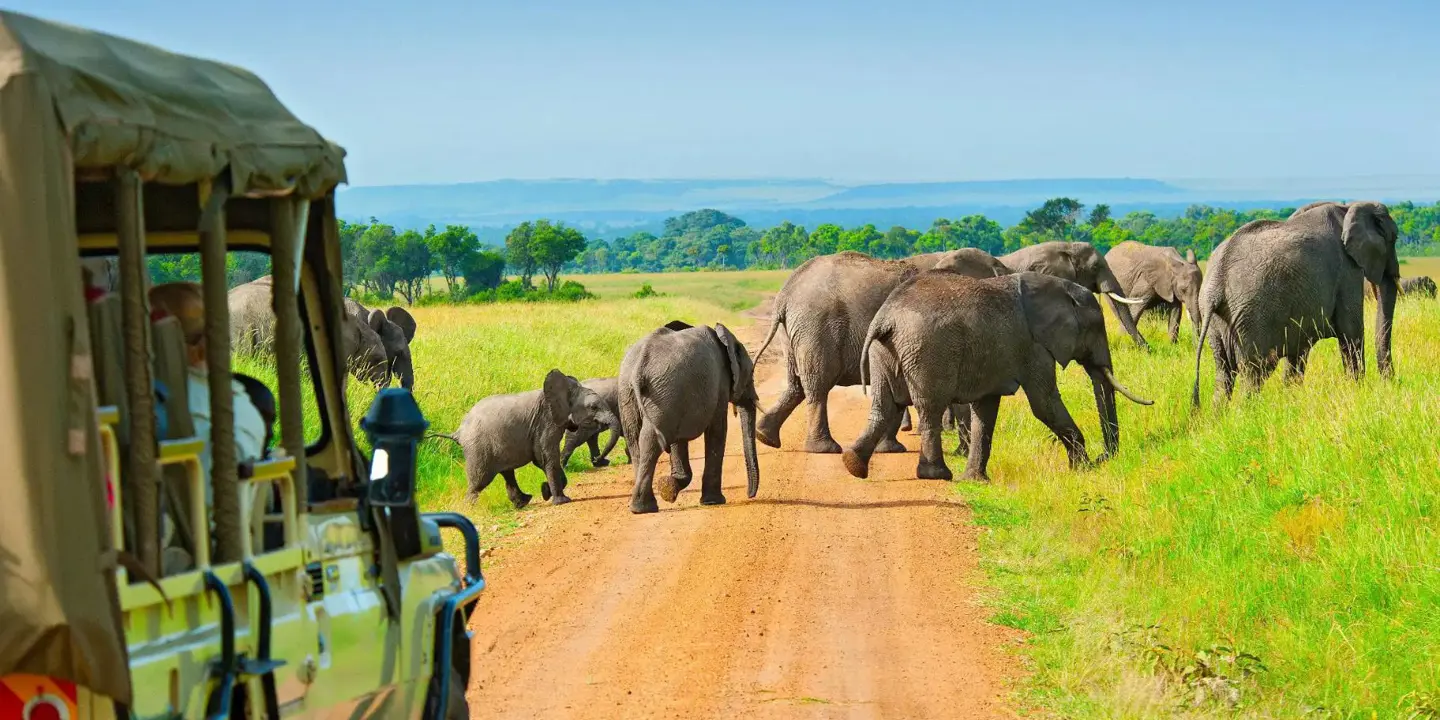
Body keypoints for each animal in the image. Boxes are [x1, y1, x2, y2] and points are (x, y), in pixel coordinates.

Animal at [435, 369, 616, 508]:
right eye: (593, 407)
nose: (599, 461)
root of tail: (458, 431)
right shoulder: (546, 422)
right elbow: (546, 458)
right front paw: (561, 501)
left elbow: (542, 460)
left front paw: (545, 491)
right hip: (478, 448)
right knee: (479, 482)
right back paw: (469, 510)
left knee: (507, 474)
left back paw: (523, 502)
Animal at [618, 320, 760, 514]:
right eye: (751, 374)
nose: (749, 495)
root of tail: (639, 365)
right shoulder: (719, 385)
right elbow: (718, 430)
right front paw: (713, 501)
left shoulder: (680, 398)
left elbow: (679, 441)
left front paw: (669, 488)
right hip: (661, 393)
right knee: (651, 441)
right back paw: (645, 507)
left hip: (635, 394)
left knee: (636, 441)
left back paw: (642, 507)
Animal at [842, 271, 1153, 482]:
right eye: (1096, 327)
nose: (1104, 458)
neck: (1059, 289)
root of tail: (885, 318)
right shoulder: (1033, 346)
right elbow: (1044, 404)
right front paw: (1082, 469)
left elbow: (986, 410)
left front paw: (976, 480)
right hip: (927, 351)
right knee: (930, 407)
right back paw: (937, 475)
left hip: (885, 352)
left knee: (884, 406)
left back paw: (852, 464)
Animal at [1192, 200, 1399, 408]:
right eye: (1395, 238)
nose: (1390, 383)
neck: (1347, 207)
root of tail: (1215, 286)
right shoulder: (1347, 270)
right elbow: (1351, 332)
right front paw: (1357, 392)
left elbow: (1298, 352)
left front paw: (1291, 399)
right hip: (1251, 319)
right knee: (1255, 372)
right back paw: (1247, 411)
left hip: (1218, 322)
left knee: (1224, 375)